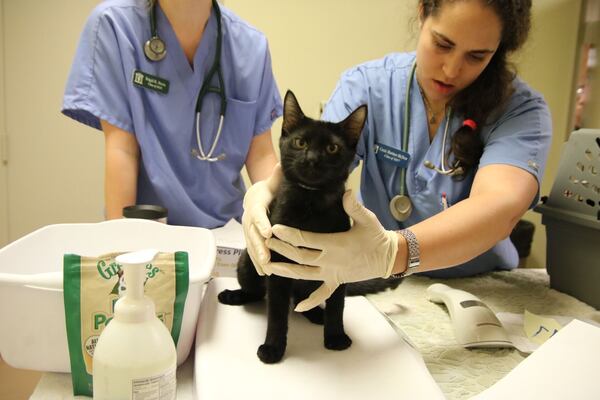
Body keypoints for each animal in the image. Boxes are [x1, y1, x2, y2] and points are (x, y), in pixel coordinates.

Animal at [217, 90, 366, 362]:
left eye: (332, 148)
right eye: (300, 143)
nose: (312, 159)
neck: (311, 201)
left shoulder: (339, 265)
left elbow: (337, 305)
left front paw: (336, 336)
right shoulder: (278, 265)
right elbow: (276, 312)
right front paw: (273, 348)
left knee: (302, 300)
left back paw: (316, 313)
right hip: (248, 261)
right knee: (259, 294)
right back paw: (234, 295)